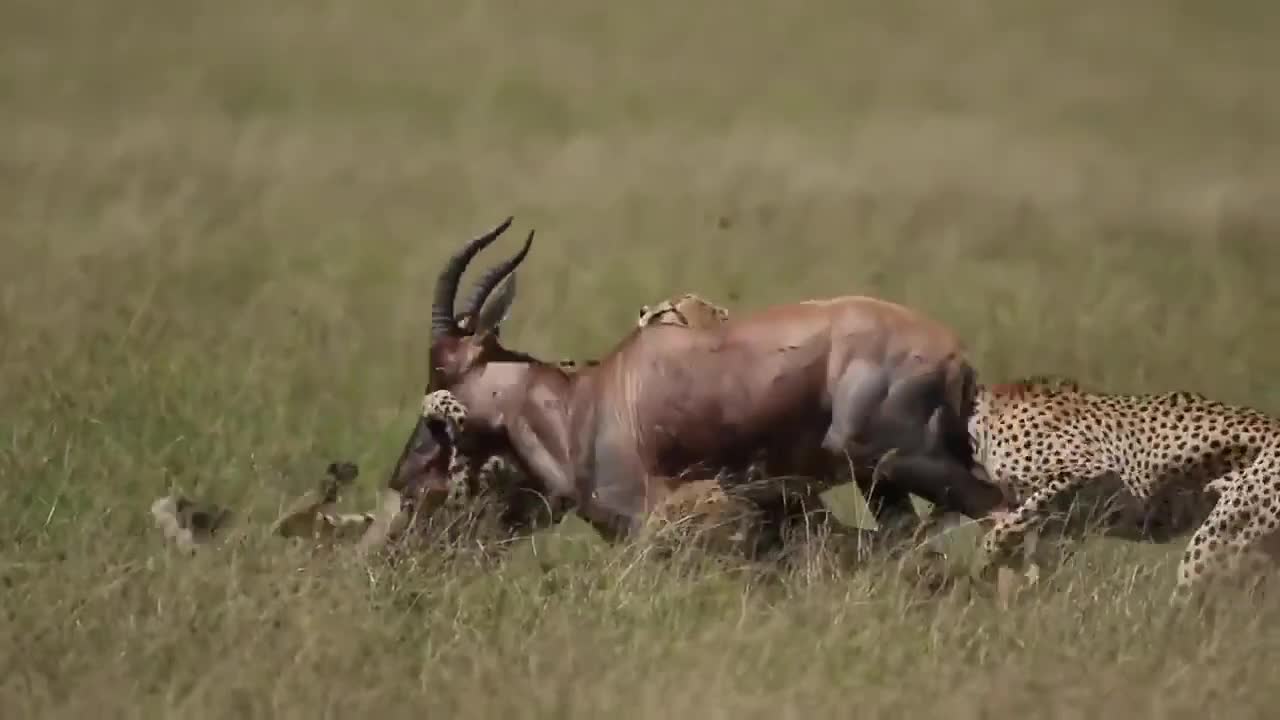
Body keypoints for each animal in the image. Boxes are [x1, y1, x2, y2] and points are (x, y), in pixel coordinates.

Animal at [358, 215, 1008, 550]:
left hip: (905, 461)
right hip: (881, 482)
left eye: (442, 371)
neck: (587, 403)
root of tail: (958, 359)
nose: (404, 477)